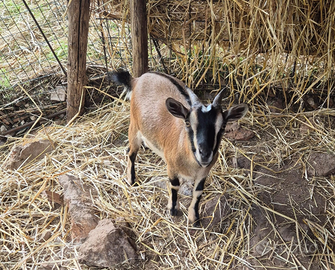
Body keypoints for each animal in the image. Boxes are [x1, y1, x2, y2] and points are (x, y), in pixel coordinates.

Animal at [111, 70, 248, 225]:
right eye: (187, 123)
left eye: (223, 126)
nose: (205, 154)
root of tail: (137, 79)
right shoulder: (171, 166)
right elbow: (175, 186)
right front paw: (172, 210)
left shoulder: (204, 172)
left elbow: (198, 191)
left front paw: (194, 217)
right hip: (134, 127)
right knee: (131, 153)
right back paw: (131, 179)